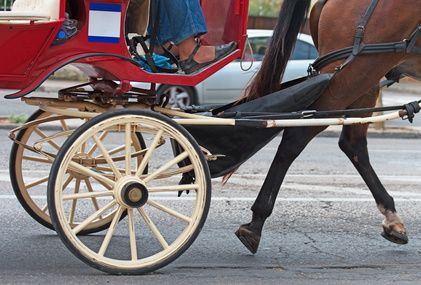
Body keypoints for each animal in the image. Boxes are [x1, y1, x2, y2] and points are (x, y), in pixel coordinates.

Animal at [235, 0, 420, 253]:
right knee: (296, 136)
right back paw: (256, 221)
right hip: (358, 70)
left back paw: (392, 217)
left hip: (365, 76)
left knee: (352, 144)